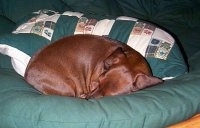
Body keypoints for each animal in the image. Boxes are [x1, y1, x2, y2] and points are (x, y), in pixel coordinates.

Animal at [25, 34, 162, 99]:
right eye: (96, 83)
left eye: (107, 96)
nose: (87, 99)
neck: (134, 61)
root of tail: (26, 75)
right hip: (68, 86)